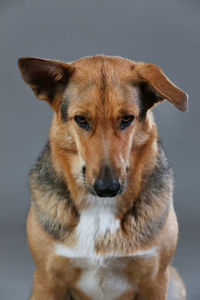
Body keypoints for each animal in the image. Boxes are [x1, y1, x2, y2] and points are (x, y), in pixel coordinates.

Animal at [17, 54, 188, 300]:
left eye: (127, 118)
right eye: (81, 119)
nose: (107, 188)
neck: (100, 209)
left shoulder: (155, 281)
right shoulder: (47, 280)